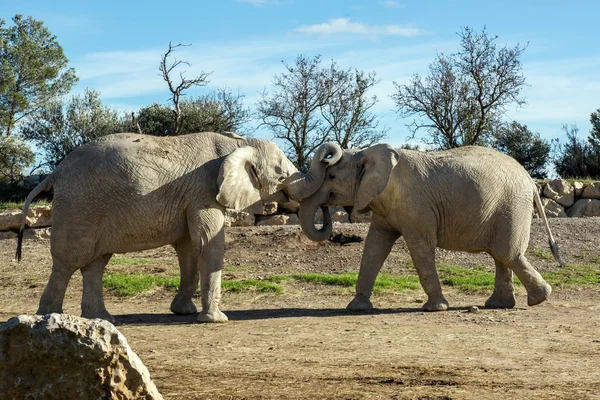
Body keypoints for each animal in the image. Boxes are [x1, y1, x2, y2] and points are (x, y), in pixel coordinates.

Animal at [17, 133, 298, 324]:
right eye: (281, 175)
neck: (238, 143)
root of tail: (55, 173)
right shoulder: (203, 191)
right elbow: (207, 242)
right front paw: (216, 320)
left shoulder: (190, 198)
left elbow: (189, 248)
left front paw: (184, 312)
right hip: (78, 207)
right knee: (67, 263)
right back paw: (49, 318)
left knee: (94, 264)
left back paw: (101, 319)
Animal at [284, 144, 564, 312]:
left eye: (331, 177)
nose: (324, 210)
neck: (365, 152)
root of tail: (530, 178)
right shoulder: (383, 205)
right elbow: (374, 247)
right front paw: (356, 307)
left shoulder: (414, 206)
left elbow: (420, 247)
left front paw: (435, 308)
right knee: (501, 255)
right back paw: (499, 305)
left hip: (512, 205)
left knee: (507, 253)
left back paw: (539, 299)